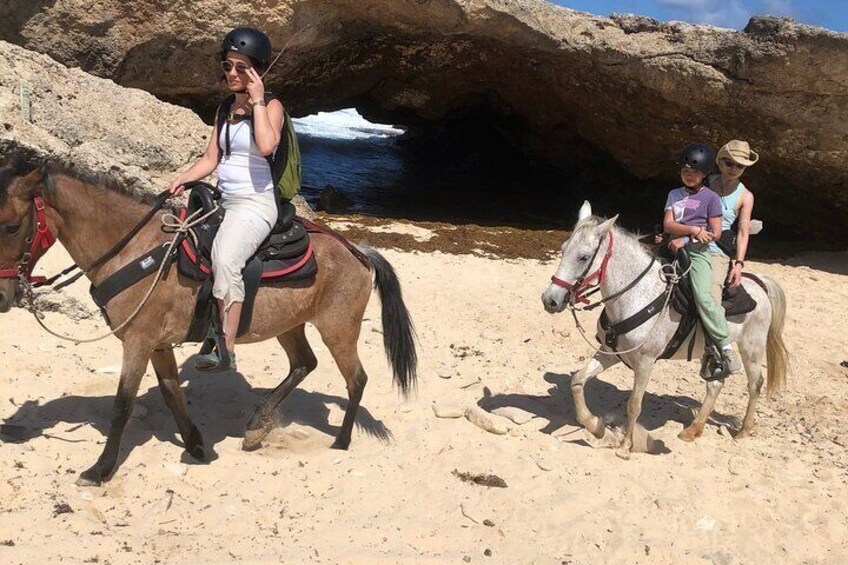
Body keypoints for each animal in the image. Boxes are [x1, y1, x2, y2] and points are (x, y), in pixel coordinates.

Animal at [0, 160, 418, 484]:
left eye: (10, 226)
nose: (4, 296)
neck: (134, 252)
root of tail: (357, 250)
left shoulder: (138, 341)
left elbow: (122, 405)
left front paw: (100, 470)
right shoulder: (157, 344)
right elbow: (171, 392)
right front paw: (196, 445)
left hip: (338, 329)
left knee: (356, 379)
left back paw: (341, 440)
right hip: (289, 326)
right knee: (304, 363)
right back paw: (257, 427)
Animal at [544, 200, 788, 456]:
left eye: (583, 257)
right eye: (563, 249)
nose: (550, 300)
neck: (636, 295)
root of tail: (759, 282)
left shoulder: (645, 363)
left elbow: (634, 404)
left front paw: (625, 446)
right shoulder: (610, 352)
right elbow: (577, 381)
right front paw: (596, 426)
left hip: (752, 347)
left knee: (754, 384)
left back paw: (743, 430)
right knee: (715, 385)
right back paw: (692, 430)